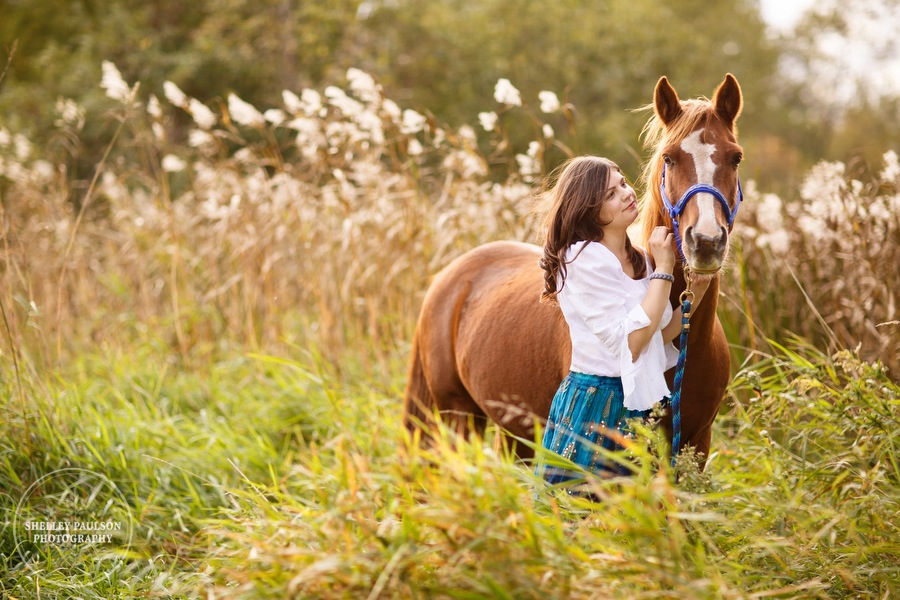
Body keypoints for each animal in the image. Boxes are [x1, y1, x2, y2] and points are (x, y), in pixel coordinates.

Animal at [404, 75, 740, 466]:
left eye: (736, 157)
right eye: (669, 157)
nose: (705, 241)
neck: (690, 343)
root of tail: (448, 277)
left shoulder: (695, 442)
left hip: (514, 429)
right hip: (457, 416)